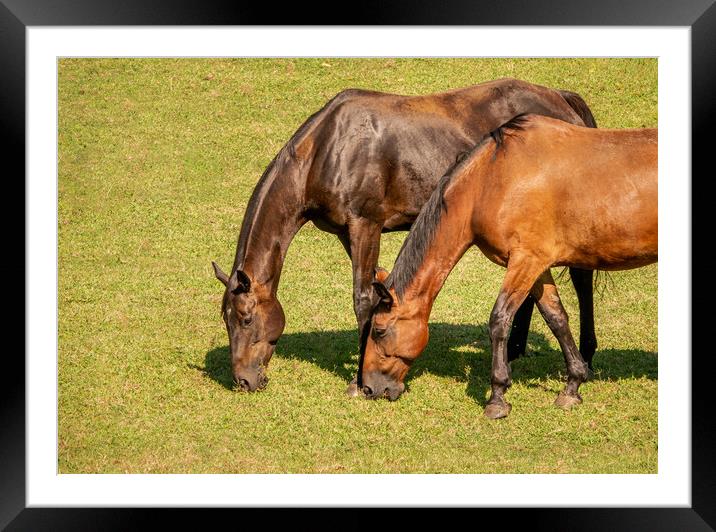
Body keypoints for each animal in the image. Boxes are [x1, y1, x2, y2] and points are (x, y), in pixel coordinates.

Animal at [211, 80, 600, 394]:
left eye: (245, 319)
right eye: (227, 321)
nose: (243, 380)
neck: (328, 148)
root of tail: (561, 98)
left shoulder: (365, 225)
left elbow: (363, 298)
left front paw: (357, 381)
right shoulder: (347, 233)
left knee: (582, 279)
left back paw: (586, 354)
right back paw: (518, 349)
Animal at [360, 114, 656, 418]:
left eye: (379, 330)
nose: (369, 388)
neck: (492, 180)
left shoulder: (525, 261)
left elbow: (500, 319)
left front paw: (497, 396)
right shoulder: (538, 265)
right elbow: (556, 317)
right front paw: (573, 385)